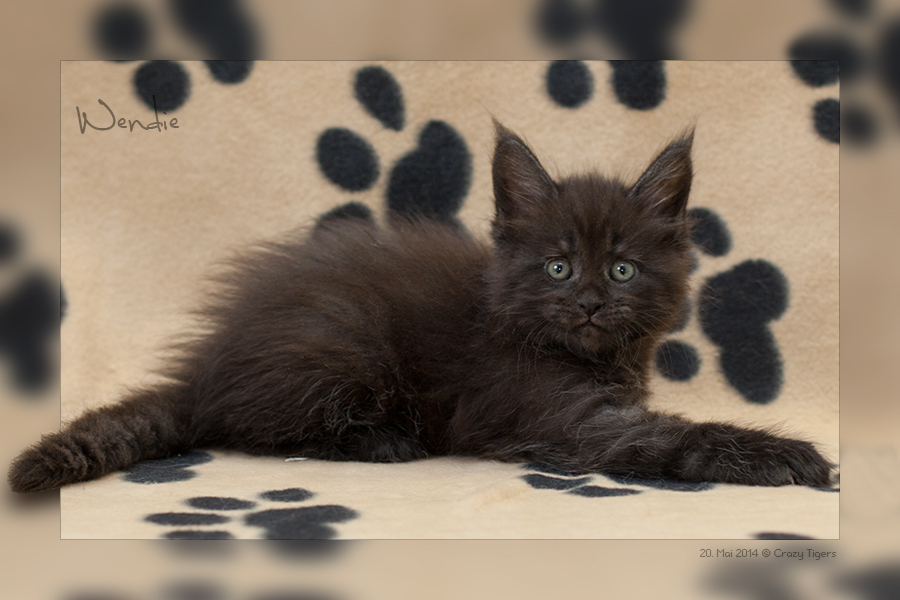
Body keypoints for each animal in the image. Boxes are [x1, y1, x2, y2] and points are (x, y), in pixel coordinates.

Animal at [8, 121, 834, 493]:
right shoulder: (563, 419)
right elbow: (676, 437)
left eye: (623, 269)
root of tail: (207, 362)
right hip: (343, 339)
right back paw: (385, 441)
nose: (591, 303)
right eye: (559, 265)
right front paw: (790, 457)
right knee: (257, 426)